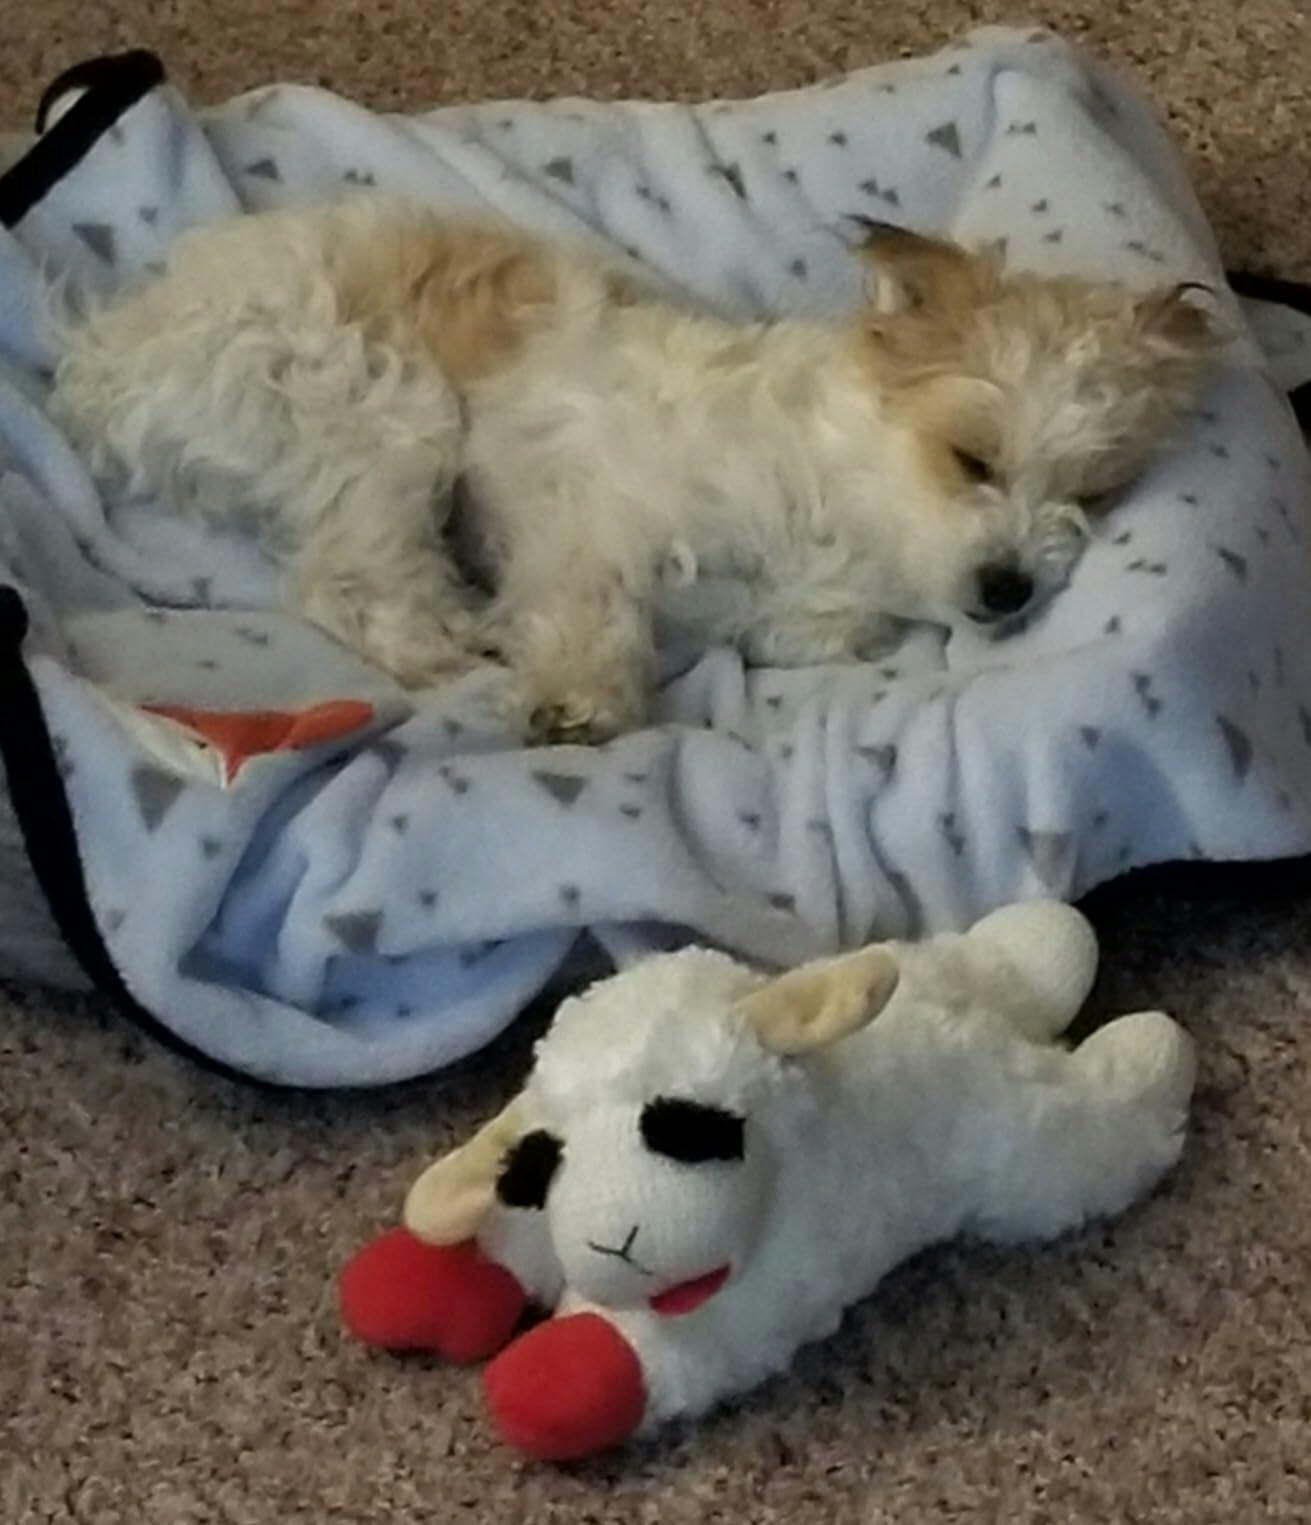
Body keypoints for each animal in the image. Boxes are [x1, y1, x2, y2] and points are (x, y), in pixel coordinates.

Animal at [48, 195, 1220, 742]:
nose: (1011, 587)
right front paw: (581, 701)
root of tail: (111, 347)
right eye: (973, 458)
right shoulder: (592, 519)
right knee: (347, 580)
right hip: (388, 414)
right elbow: (591, 608)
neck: (834, 503)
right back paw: (453, 642)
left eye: (1091, 494)